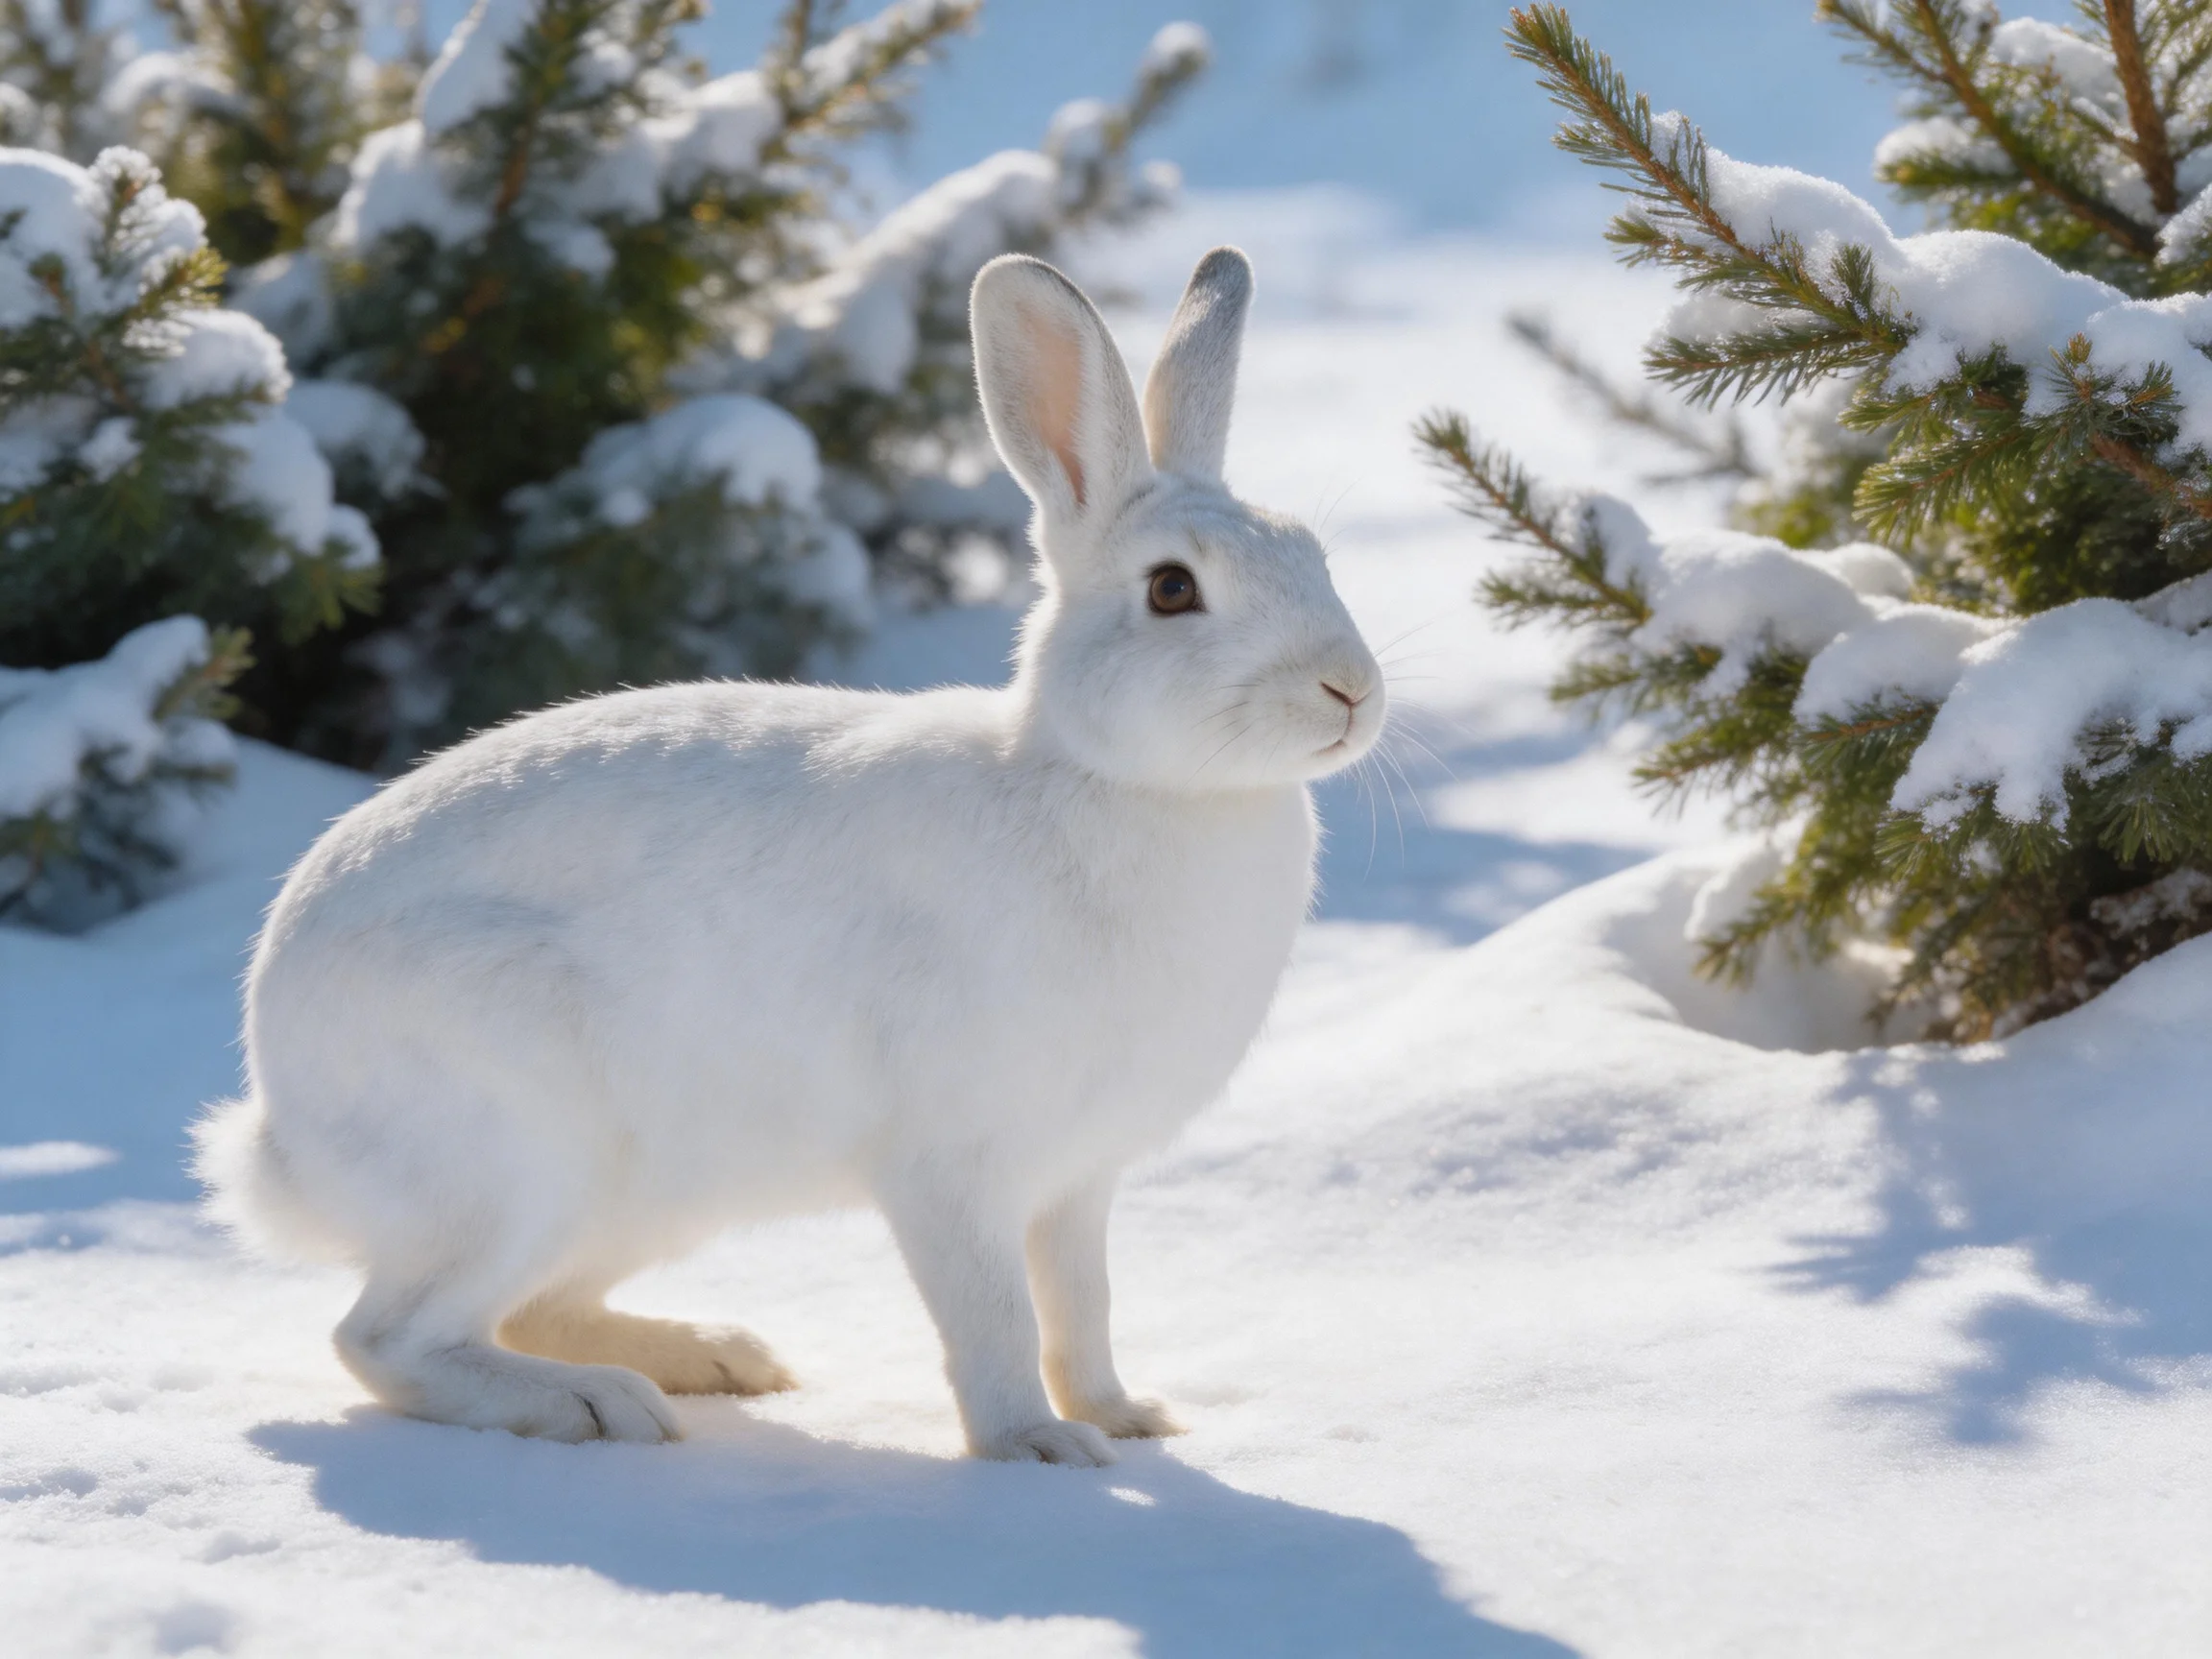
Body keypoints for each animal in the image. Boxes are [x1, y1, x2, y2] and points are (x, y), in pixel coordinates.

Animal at [194, 246, 1385, 1466]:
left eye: (1315, 556)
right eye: (1172, 589)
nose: (1351, 690)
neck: (1125, 782)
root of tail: (282, 1129)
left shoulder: (1077, 1181)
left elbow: (1082, 1304)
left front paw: (1128, 1419)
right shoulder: (953, 1165)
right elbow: (994, 1316)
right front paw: (1037, 1451)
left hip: (635, 1201)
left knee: (529, 1309)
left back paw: (720, 1356)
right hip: (513, 1158)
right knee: (384, 1340)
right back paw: (598, 1406)